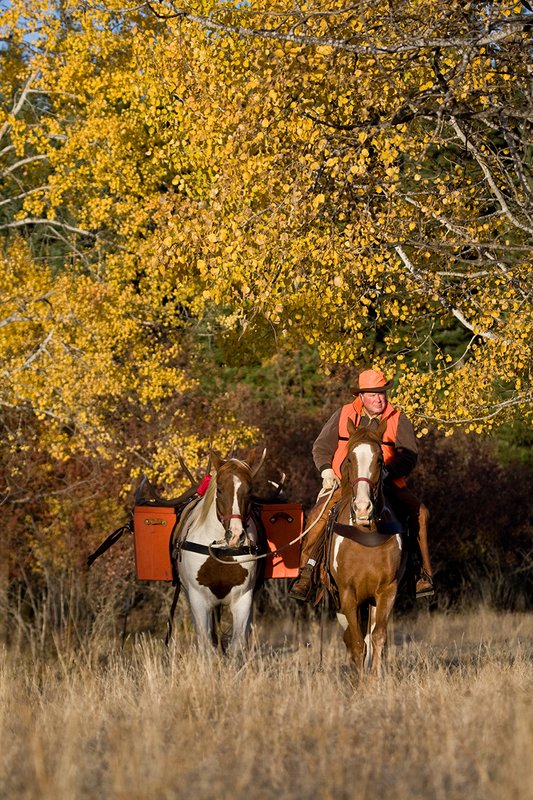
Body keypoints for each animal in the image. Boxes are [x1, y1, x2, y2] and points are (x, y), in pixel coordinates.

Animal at [171, 447, 265, 653]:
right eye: (220, 489)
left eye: (250, 490)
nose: (236, 535)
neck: (221, 550)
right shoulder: (198, 598)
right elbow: (206, 643)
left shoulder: (243, 598)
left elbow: (238, 643)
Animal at [328, 418, 406, 677]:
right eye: (349, 459)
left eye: (380, 460)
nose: (363, 508)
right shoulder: (347, 593)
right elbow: (357, 643)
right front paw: (360, 682)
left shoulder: (386, 591)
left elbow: (377, 638)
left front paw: (373, 681)